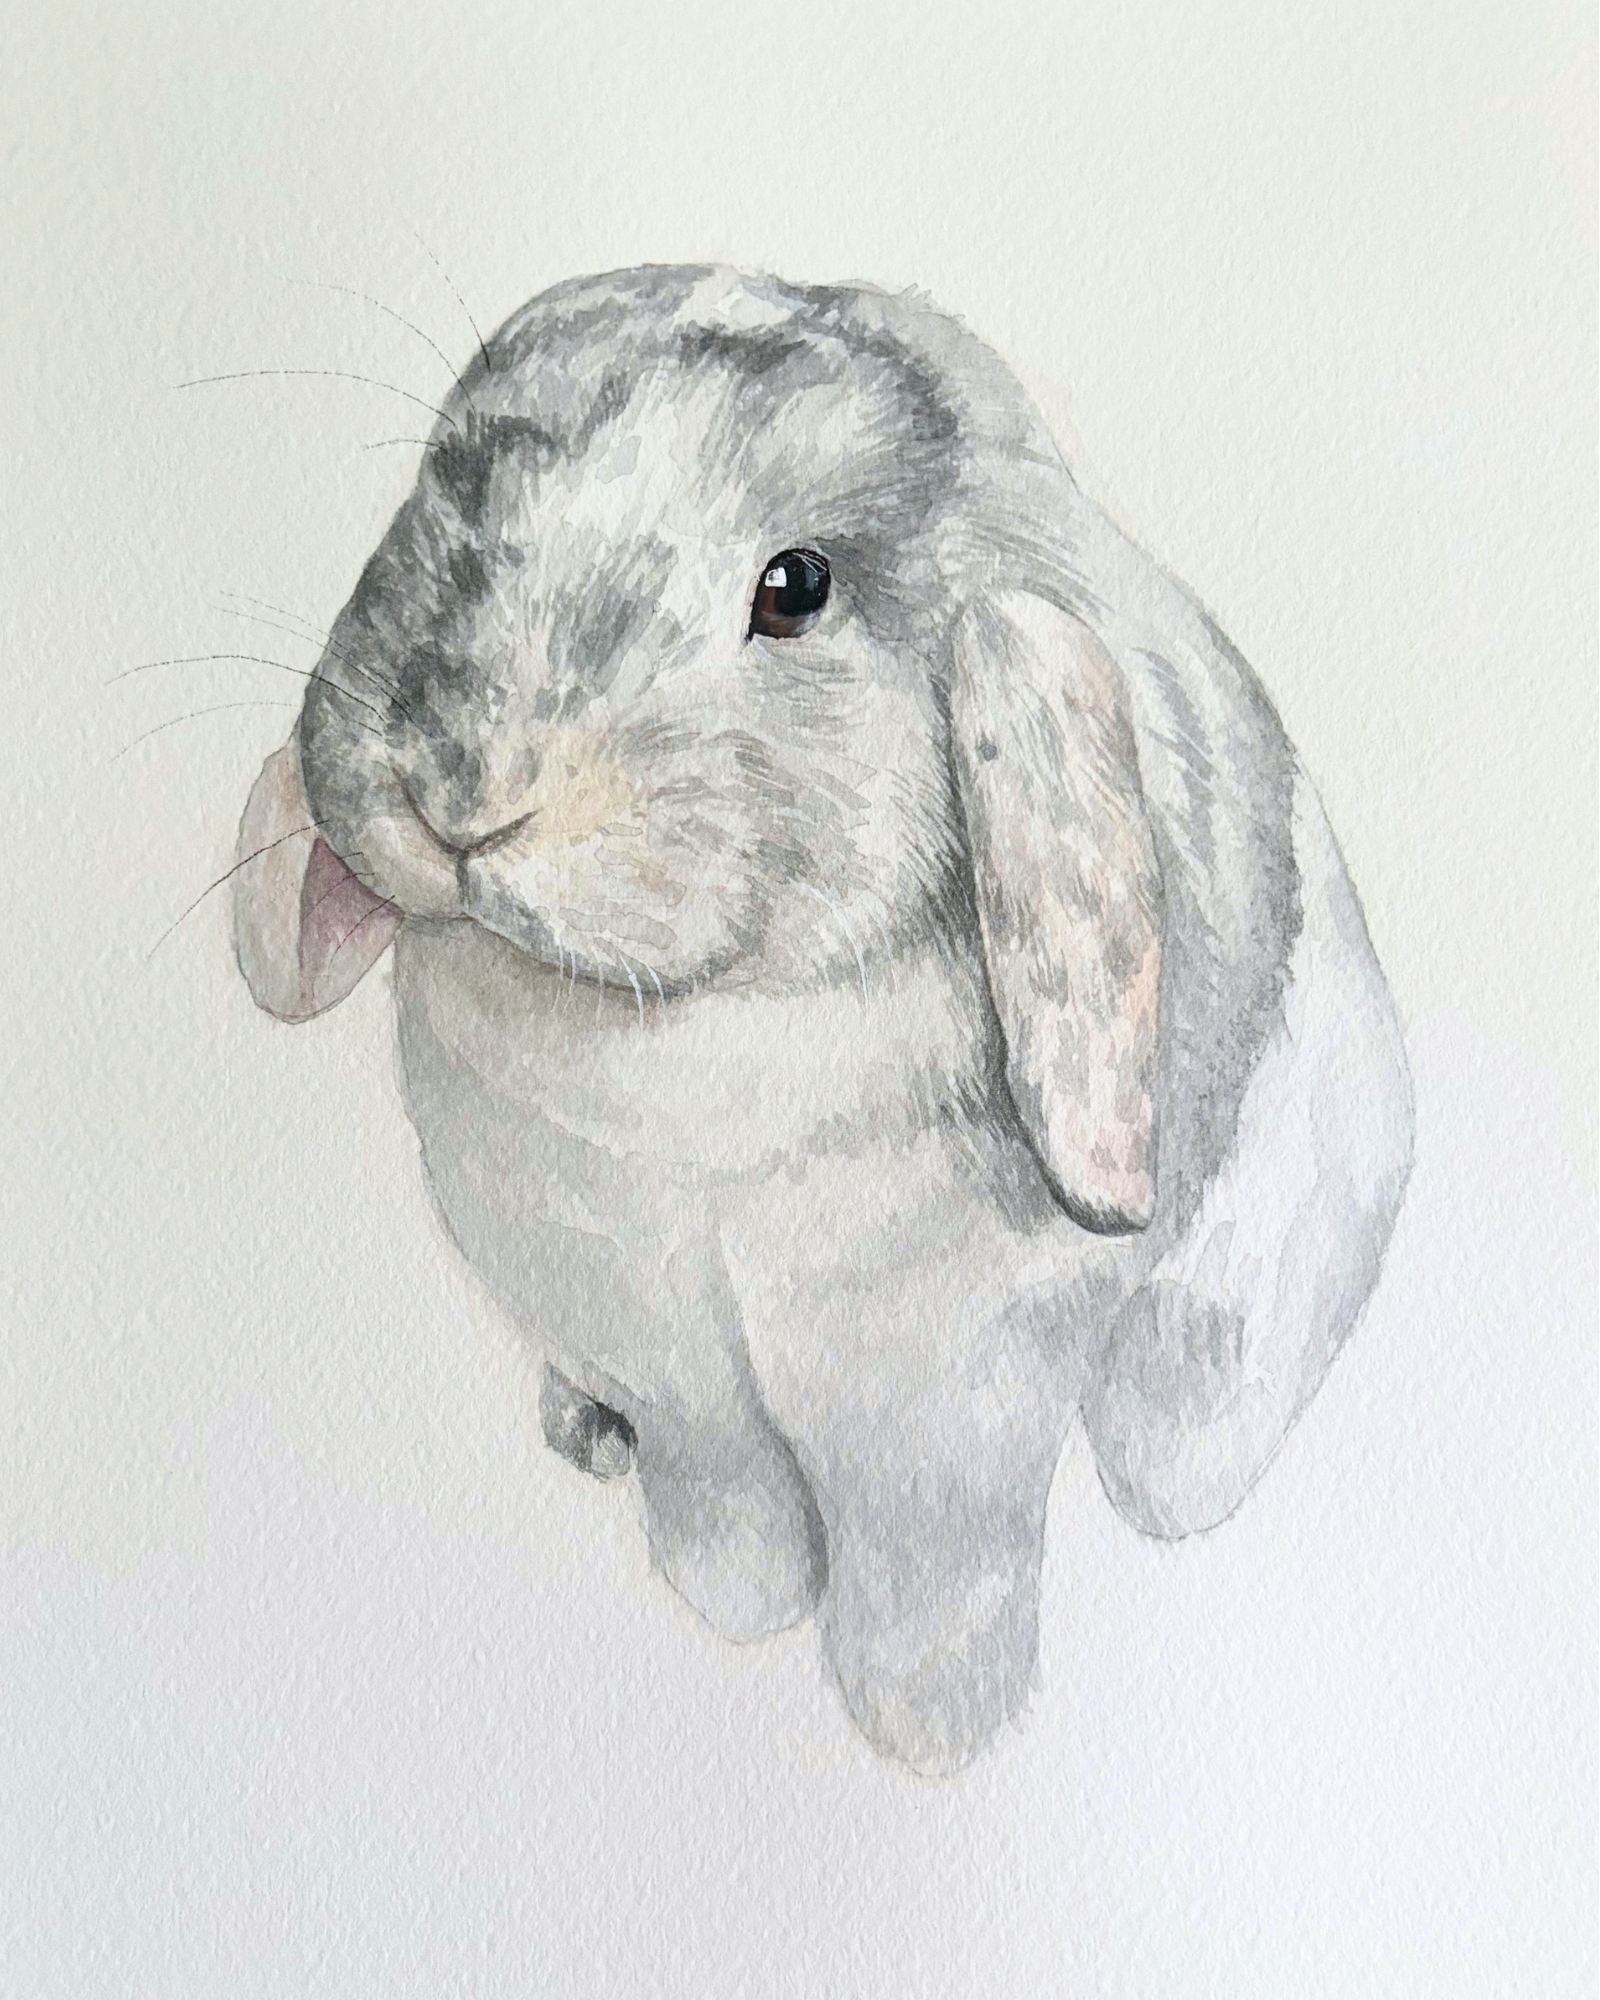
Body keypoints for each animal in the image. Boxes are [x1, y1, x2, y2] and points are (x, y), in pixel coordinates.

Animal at [232, 264, 1413, 1776]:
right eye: (454, 475)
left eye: (794, 588)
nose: (460, 792)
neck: (694, 1045)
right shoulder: (676, 1374)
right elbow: (724, 1517)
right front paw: (733, 1617)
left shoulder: (943, 1419)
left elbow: (932, 1581)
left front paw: (933, 1741)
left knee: (1174, 1444)